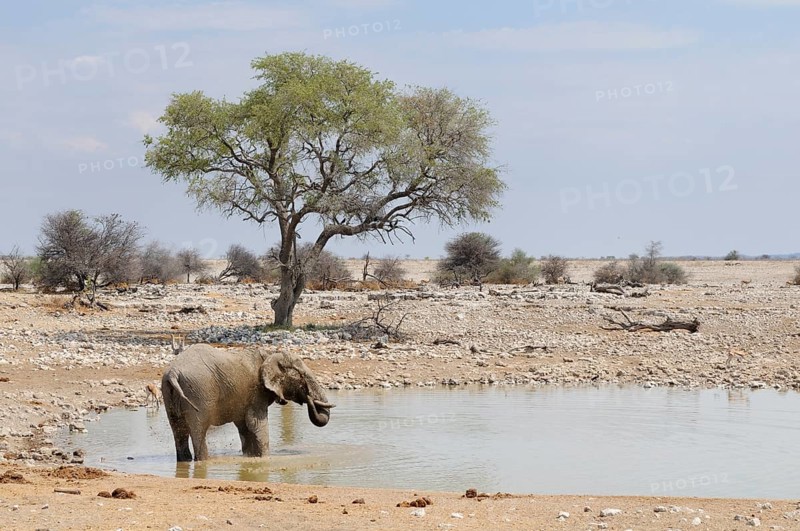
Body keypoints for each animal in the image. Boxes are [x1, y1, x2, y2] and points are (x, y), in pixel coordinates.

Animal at [161, 344, 334, 461]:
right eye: (302, 377)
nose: (309, 397)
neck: (271, 354)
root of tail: (173, 372)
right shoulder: (256, 393)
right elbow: (256, 423)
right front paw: (265, 459)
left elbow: (244, 427)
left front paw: (251, 457)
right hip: (199, 392)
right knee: (199, 431)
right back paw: (204, 460)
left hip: (169, 394)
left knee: (178, 430)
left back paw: (185, 461)